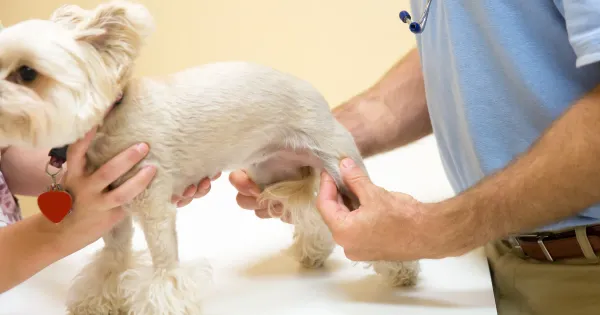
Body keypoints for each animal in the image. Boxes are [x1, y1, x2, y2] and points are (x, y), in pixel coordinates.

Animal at [0, 1, 420, 314]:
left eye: (27, 72)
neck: (111, 121)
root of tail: (314, 95)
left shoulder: (153, 206)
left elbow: (165, 267)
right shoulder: (111, 212)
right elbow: (112, 259)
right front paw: (98, 299)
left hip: (340, 167)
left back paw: (399, 270)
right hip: (272, 172)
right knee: (313, 216)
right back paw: (314, 253)